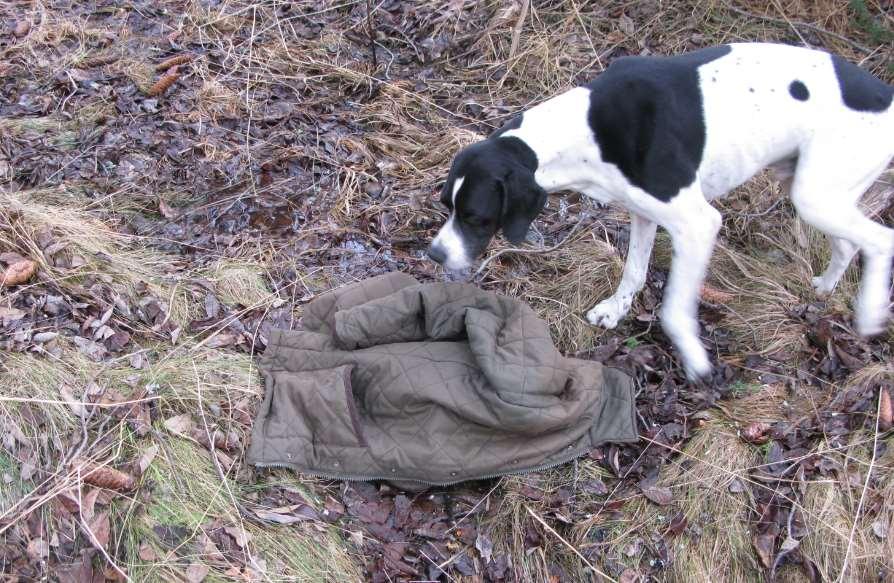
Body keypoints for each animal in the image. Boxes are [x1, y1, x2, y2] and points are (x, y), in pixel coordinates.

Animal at [428, 43, 894, 380]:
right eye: (446, 206)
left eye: (474, 217)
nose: (433, 254)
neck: (586, 131)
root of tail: (885, 93)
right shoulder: (644, 213)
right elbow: (633, 270)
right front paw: (616, 309)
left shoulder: (698, 225)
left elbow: (672, 310)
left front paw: (694, 358)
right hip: (810, 190)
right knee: (849, 244)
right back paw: (826, 288)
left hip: (815, 196)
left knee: (880, 241)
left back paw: (870, 312)